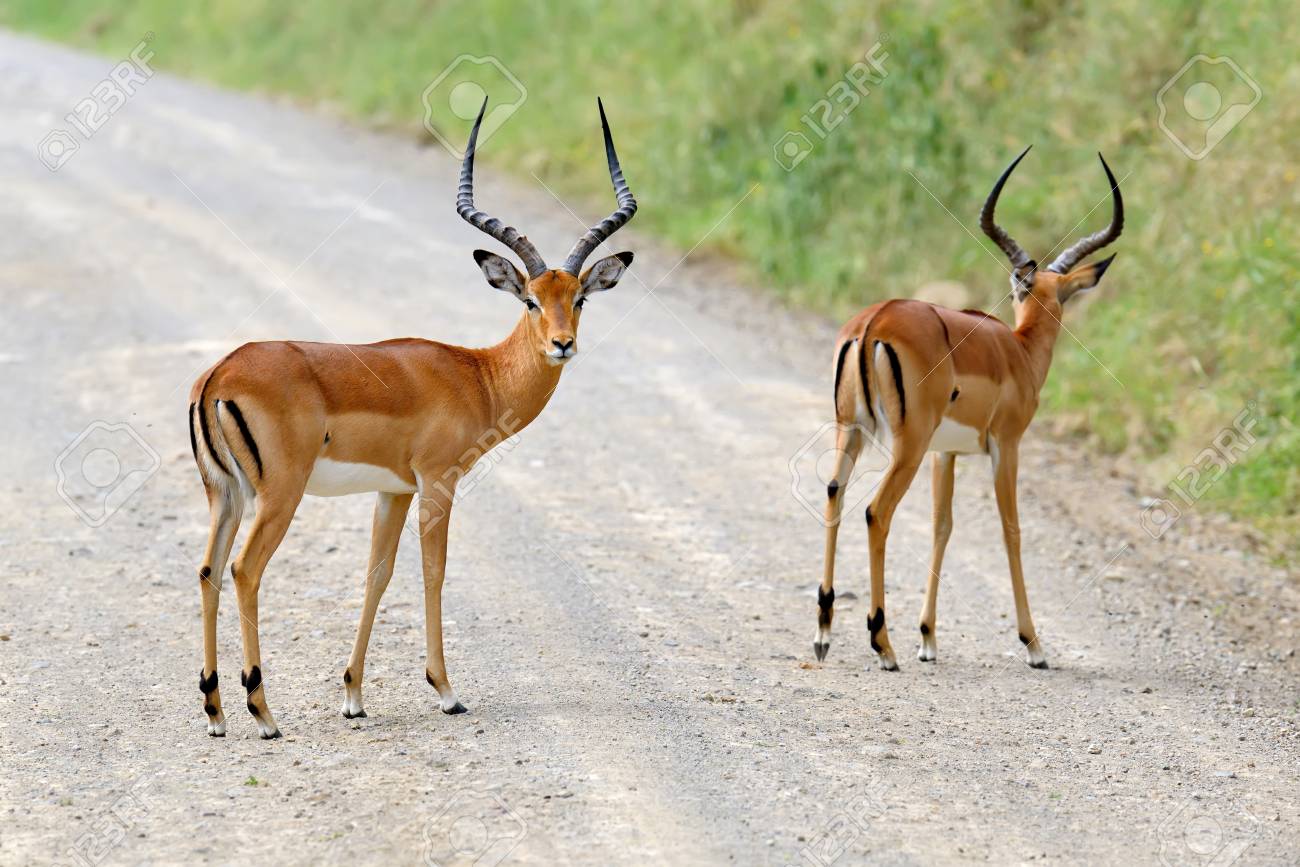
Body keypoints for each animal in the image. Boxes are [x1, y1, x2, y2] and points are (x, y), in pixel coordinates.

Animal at [189, 98, 637, 738]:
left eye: (578, 298)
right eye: (530, 299)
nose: (562, 344)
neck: (476, 374)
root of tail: (221, 375)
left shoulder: (393, 490)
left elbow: (377, 574)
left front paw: (353, 697)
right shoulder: (437, 481)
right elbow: (433, 571)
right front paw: (446, 692)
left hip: (223, 493)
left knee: (207, 569)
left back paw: (216, 711)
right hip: (279, 494)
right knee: (245, 569)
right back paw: (263, 713)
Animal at [815, 147, 1123, 670]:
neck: (1018, 352)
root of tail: (874, 321)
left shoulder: (947, 453)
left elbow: (943, 526)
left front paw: (928, 639)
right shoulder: (1006, 444)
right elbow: (1011, 530)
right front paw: (1034, 645)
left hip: (851, 429)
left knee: (835, 493)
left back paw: (823, 632)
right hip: (908, 445)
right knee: (876, 511)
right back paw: (883, 644)